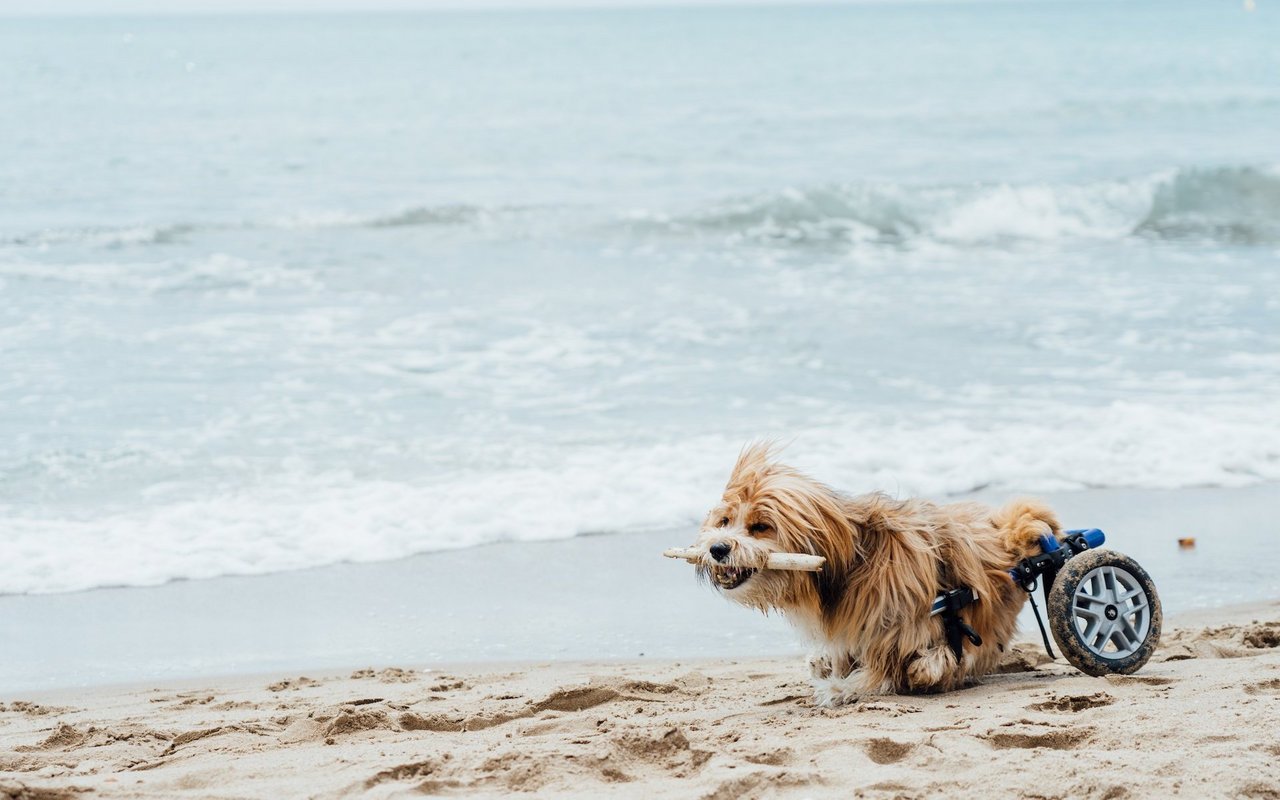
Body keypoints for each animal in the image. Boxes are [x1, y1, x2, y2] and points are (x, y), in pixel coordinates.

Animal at [691, 442, 1059, 706]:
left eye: (760, 527)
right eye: (725, 521)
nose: (718, 548)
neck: (855, 562)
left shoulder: (901, 625)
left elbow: (896, 667)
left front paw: (843, 689)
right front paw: (832, 669)